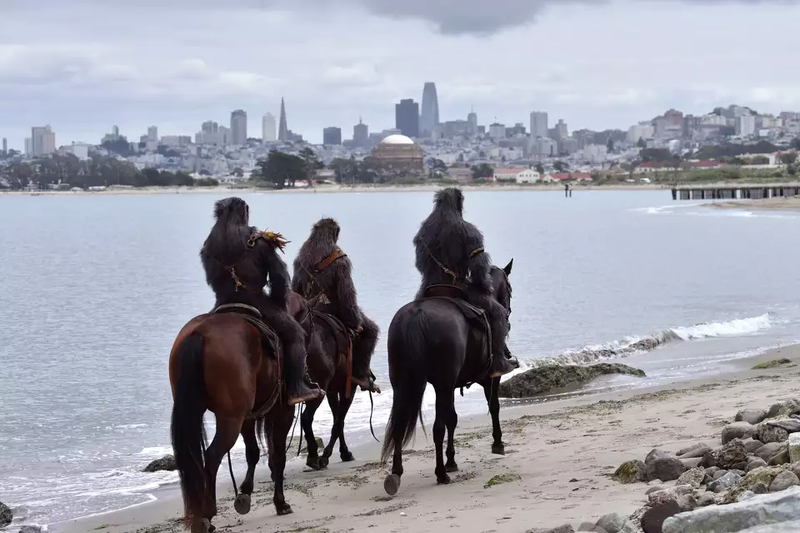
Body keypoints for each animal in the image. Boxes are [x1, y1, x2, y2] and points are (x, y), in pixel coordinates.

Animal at [170, 308, 296, 532]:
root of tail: (200, 333)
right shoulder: (282, 413)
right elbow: (278, 456)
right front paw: (280, 502)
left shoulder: (249, 416)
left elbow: (253, 452)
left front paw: (245, 492)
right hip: (231, 419)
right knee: (212, 456)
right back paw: (207, 515)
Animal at [286, 290, 380, 470]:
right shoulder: (338, 389)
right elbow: (336, 420)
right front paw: (322, 455)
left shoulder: (335, 389)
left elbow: (338, 420)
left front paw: (340, 453)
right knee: (310, 417)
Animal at [380, 260, 512, 494]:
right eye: (509, 289)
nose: (508, 312)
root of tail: (416, 315)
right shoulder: (488, 379)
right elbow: (493, 407)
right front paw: (498, 444)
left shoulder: (451, 386)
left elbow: (453, 418)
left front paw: (452, 461)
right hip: (442, 383)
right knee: (437, 428)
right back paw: (440, 473)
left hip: (402, 385)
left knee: (399, 426)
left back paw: (396, 474)